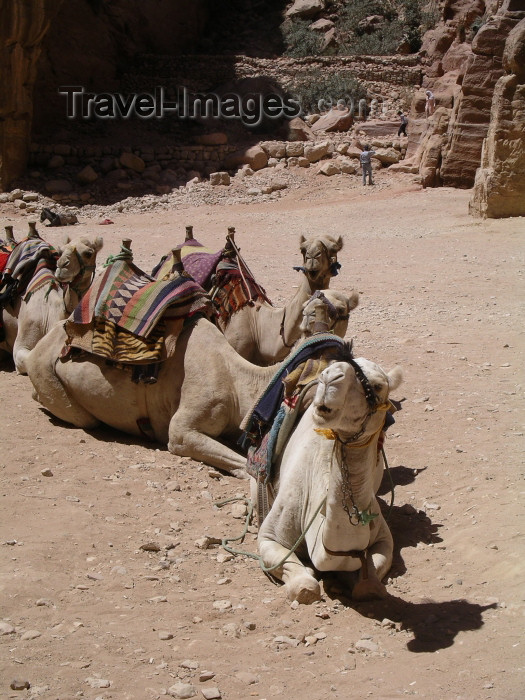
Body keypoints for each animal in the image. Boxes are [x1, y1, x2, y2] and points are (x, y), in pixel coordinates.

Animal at [25, 284, 356, 476]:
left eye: (342, 309)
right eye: (330, 382)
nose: (313, 312)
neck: (240, 386)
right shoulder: (181, 431)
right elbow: (243, 467)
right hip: (49, 378)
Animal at [256, 352, 402, 604]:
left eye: (378, 386)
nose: (330, 376)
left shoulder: (383, 537)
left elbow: (372, 574)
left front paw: (362, 583)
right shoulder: (269, 536)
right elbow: (302, 582)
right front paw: (306, 581)